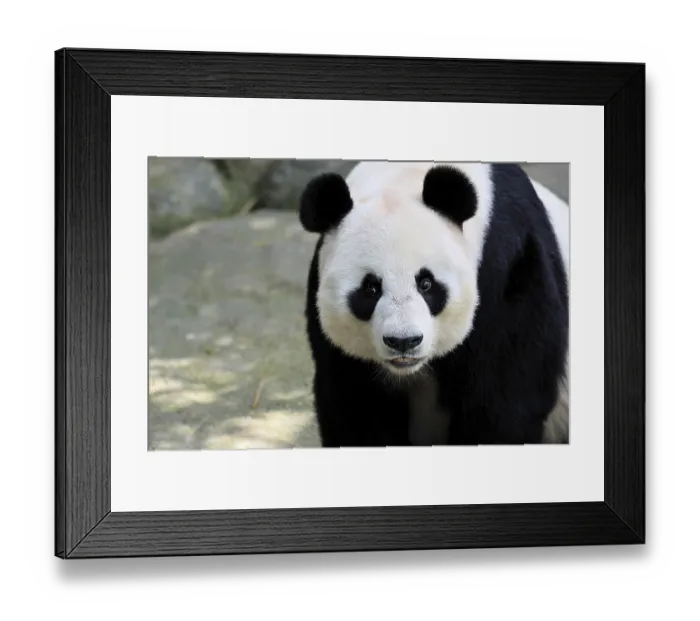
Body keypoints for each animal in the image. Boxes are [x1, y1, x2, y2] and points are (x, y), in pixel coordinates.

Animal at [299, 161, 569, 447]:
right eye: (370, 288)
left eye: (426, 283)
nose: (403, 341)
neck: (403, 176)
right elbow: (354, 406)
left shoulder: (509, 267)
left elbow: (504, 400)